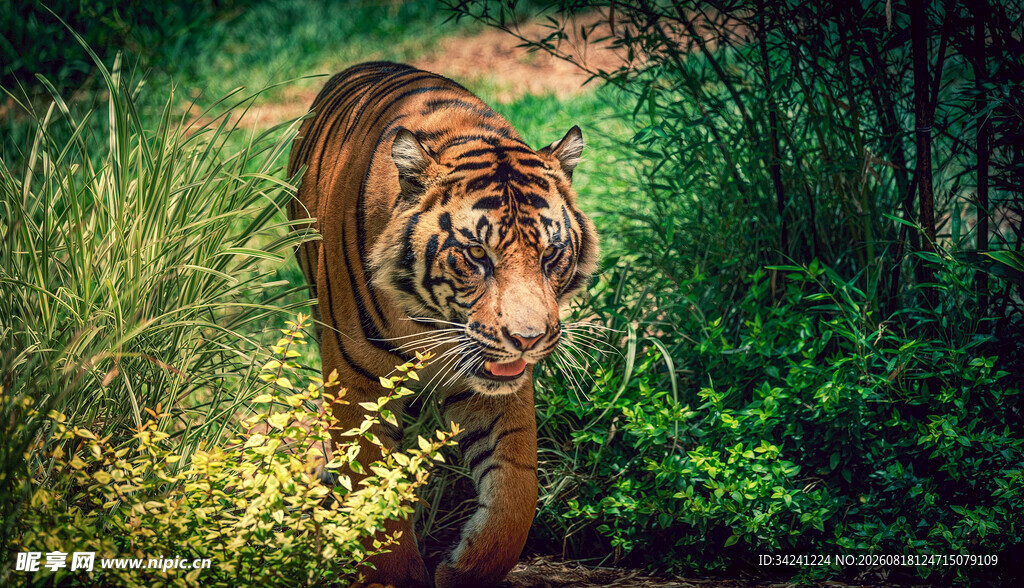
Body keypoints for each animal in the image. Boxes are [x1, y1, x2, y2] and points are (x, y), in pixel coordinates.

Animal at [286, 61, 598, 587]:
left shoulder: (499, 388)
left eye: (551, 254)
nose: (528, 340)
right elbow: (373, 498)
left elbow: (516, 493)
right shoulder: (356, 384)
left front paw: (464, 569)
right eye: (477, 255)